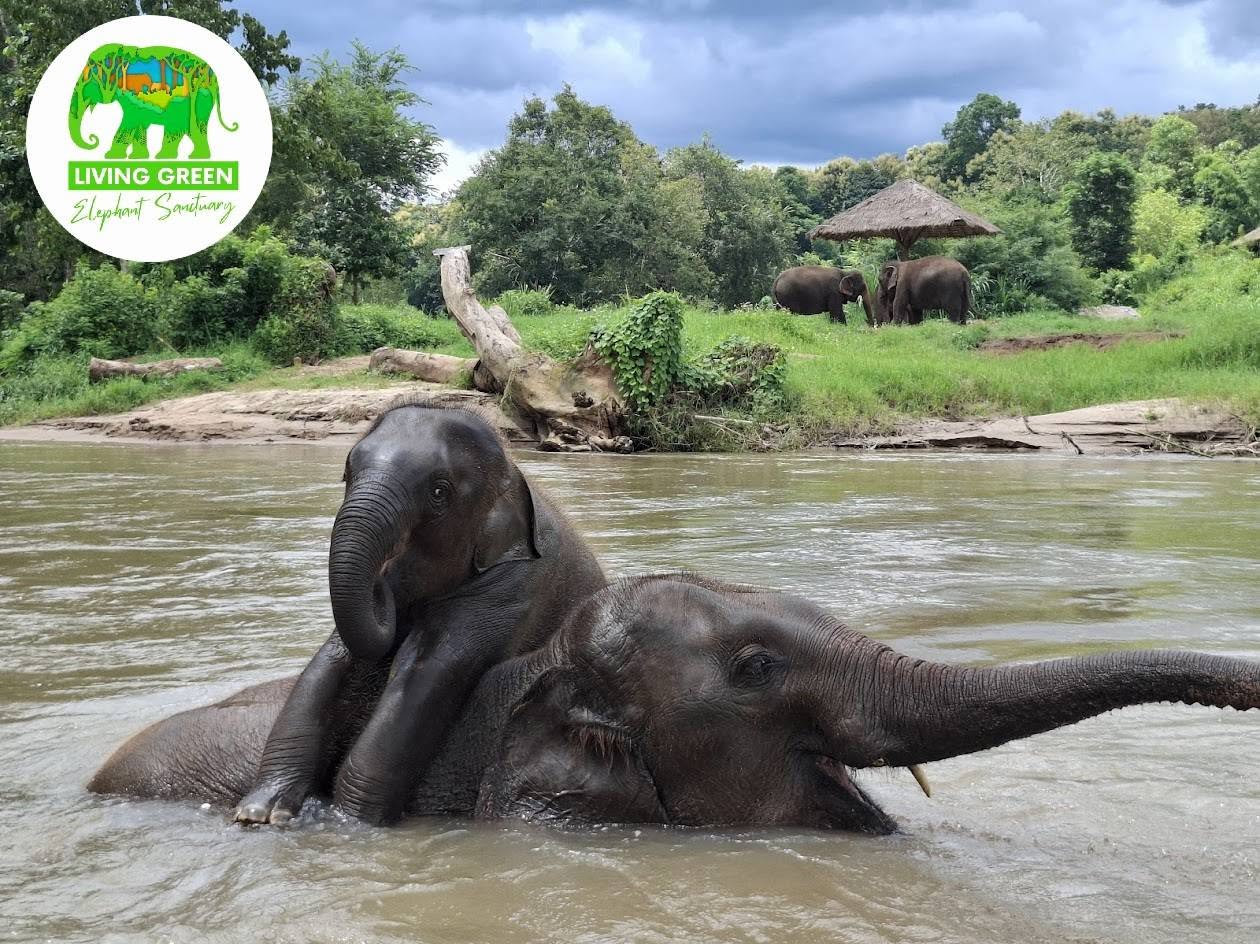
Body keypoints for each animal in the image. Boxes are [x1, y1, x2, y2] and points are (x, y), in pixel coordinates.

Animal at [69, 43, 237, 160]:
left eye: (89, 78)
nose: (93, 139)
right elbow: (139, 125)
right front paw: (137, 157)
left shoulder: (134, 97)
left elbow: (130, 121)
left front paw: (111, 156)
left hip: (193, 102)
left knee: (181, 128)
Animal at [228, 402, 606, 827]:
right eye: (347, 473)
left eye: (439, 492)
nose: (383, 581)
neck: (512, 470)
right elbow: (328, 664)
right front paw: (259, 812)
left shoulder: (514, 592)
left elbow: (424, 672)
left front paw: (349, 820)